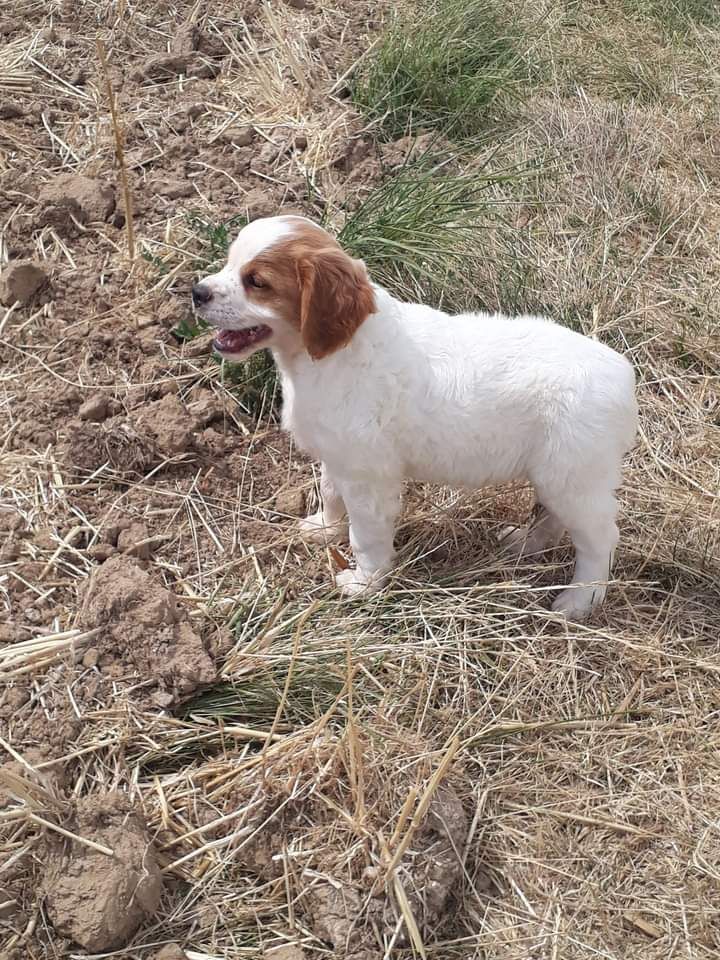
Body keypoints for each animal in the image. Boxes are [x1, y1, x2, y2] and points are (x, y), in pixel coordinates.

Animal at [191, 215, 636, 620]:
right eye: (229, 263)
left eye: (256, 281)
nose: (197, 292)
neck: (333, 354)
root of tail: (623, 376)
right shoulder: (339, 456)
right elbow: (330, 492)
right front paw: (323, 527)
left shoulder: (369, 477)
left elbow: (365, 535)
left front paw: (364, 583)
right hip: (556, 475)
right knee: (555, 518)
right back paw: (525, 543)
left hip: (574, 478)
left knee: (599, 538)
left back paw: (580, 600)